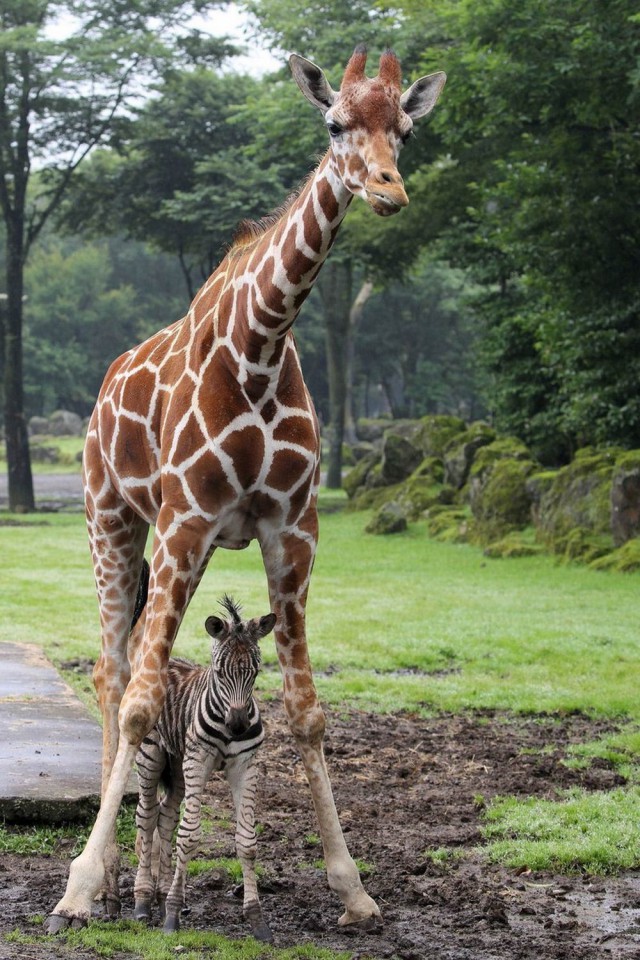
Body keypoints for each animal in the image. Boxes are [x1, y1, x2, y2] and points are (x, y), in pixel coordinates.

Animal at [132, 592, 276, 936]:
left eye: (255, 672)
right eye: (220, 672)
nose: (238, 725)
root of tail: (167, 660)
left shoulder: (246, 765)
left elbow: (247, 841)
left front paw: (257, 918)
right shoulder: (198, 760)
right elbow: (189, 835)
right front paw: (172, 915)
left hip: (177, 765)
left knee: (166, 817)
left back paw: (160, 897)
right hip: (151, 755)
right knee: (146, 817)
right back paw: (143, 902)